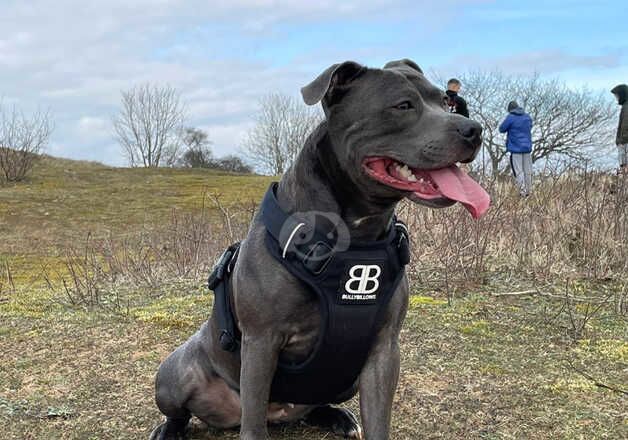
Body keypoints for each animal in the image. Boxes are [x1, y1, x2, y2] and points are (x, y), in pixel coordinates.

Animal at [151, 59, 490, 440]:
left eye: (444, 102)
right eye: (403, 105)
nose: (474, 129)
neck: (357, 234)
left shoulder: (385, 349)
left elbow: (379, 422)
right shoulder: (261, 341)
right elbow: (252, 426)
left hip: (345, 378)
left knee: (316, 405)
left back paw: (337, 416)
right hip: (175, 374)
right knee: (183, 411)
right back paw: (168, 430)